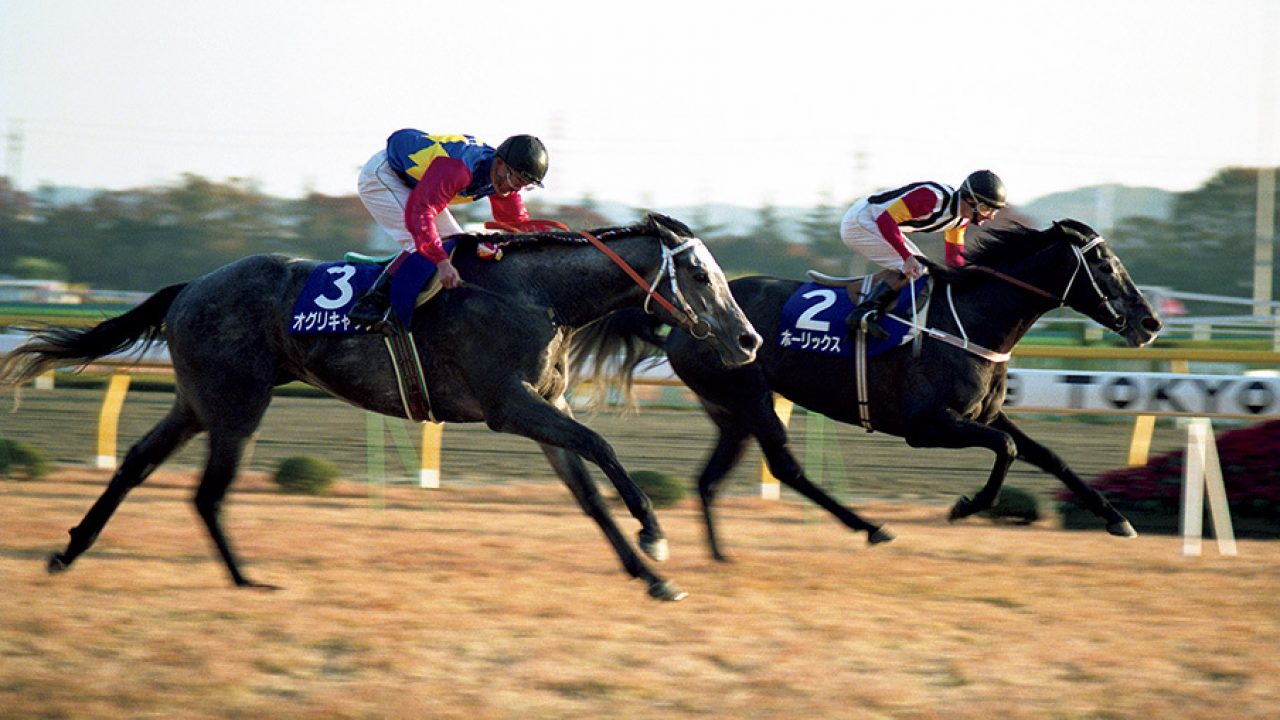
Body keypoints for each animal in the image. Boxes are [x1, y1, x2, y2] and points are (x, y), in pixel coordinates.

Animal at [576, 219, 1167, 561]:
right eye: (1104, 264)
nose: (1151, 322)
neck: (973, 321)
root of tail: (683, 323)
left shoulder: (985, 413)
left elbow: (1046, 455)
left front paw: (1116, 518)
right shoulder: (926, 426)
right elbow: (1008, 450)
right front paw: (965, 507)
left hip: (729, 411)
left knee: (709, 478)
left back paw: (722, 555)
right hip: (750, 398)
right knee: (787, 468)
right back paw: (869, 527)